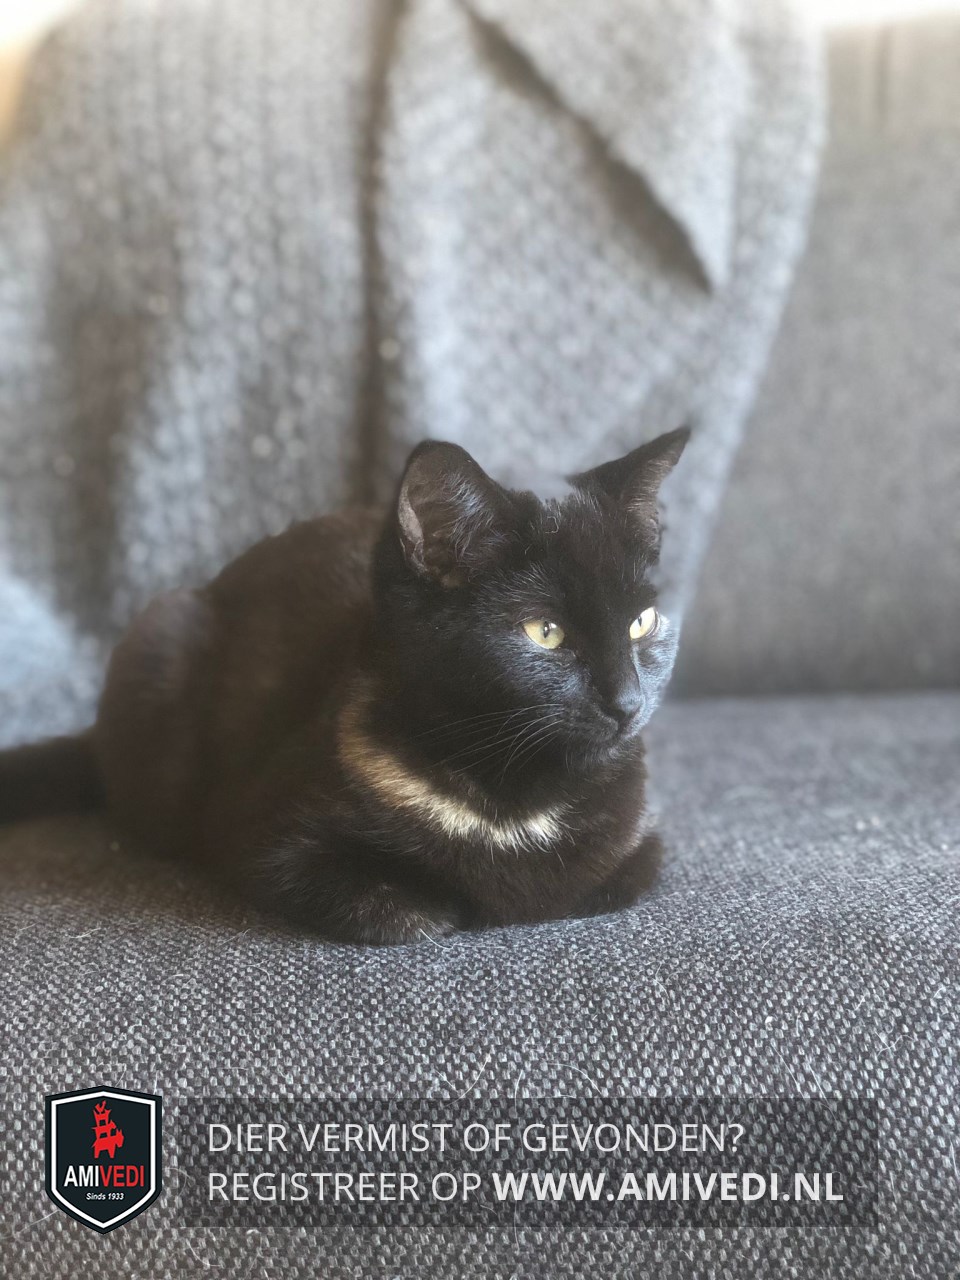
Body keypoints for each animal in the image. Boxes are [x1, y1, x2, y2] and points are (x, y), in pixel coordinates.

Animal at [0, 428, 688, 944]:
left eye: (642, 622)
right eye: (545, 632)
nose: (627, 703)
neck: (509, 797)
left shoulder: (641, 843)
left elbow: (603, 883)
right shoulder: (264, 843)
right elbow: (403, 910)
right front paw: (454, 905)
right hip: (160, 641)